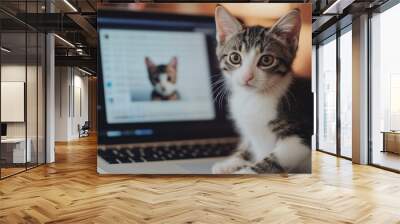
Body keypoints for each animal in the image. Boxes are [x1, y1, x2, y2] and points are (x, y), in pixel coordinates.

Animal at [211, 4, 314, 173]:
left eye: (266, 60)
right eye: (235, 58)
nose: (247, 76)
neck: (253, 97)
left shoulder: (300, 138)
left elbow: (272, 159)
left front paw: (245, 172)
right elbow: (248, 145)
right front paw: (231, 162)